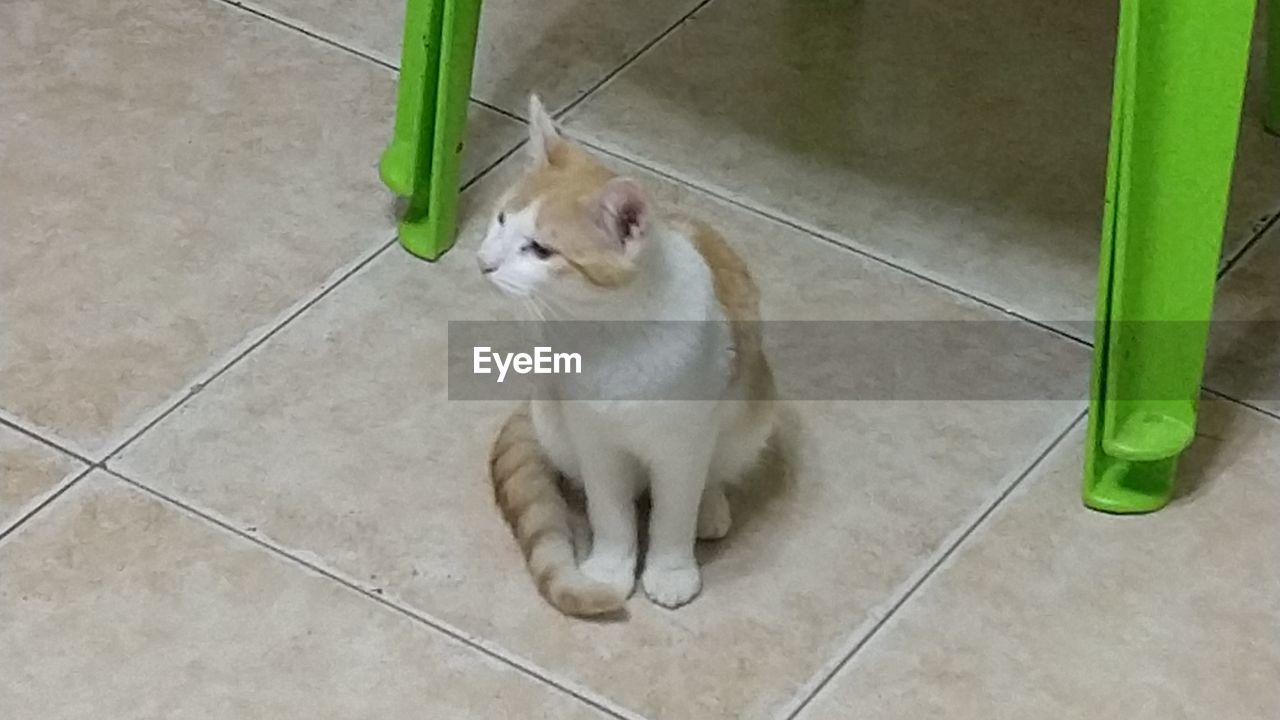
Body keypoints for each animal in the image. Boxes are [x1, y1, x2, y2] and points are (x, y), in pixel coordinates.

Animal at [481, 94, 773, 609]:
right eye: (501, 220)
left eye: (540, 250)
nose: (485, 261)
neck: (609, 334)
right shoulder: (594, 439)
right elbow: (611, 512)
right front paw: (609, 569)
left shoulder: (683, 442)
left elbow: (674, 511)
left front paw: (671, 570)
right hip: (553, 420)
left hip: (750, 416)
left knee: (713, 472)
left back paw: (710, 508)